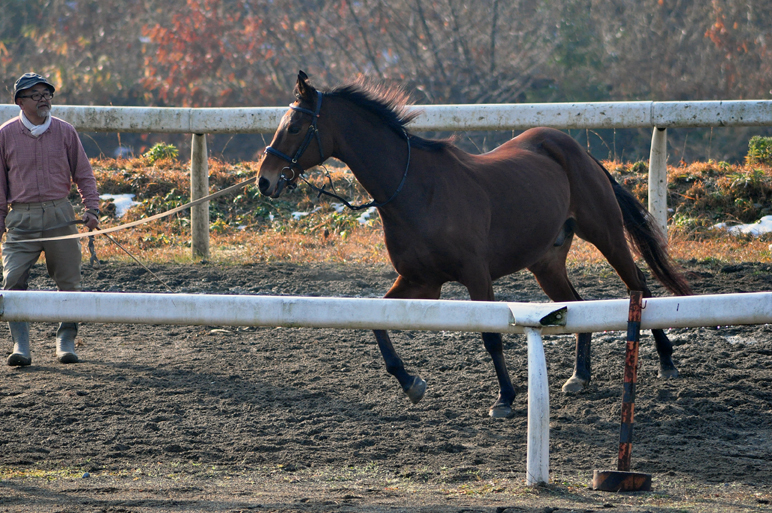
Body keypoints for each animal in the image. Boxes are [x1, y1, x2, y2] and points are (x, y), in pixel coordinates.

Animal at [256, 71, 692, 416]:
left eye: (294, 127)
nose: (265, 179)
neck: (415, 189)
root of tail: (571, 147)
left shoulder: (475, 276)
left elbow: (491, 337)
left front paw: (505, 398)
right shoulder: (422, 281)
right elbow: (379, 322)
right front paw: (410, 382)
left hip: (605, 234)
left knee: (639, 284)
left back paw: (666, 361)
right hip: (545, 263)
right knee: (579, 306)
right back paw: (579, 376)